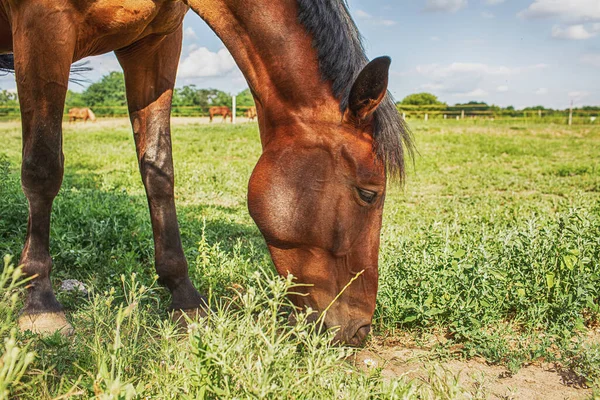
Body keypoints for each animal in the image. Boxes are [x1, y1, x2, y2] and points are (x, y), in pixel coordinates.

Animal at [0, 0, 410, 346]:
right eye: (369, 193)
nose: (360, 330)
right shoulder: (43, 24)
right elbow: (42, 168)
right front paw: (40, 302)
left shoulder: (156, 43)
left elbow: (158, 169)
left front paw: (184, 297)